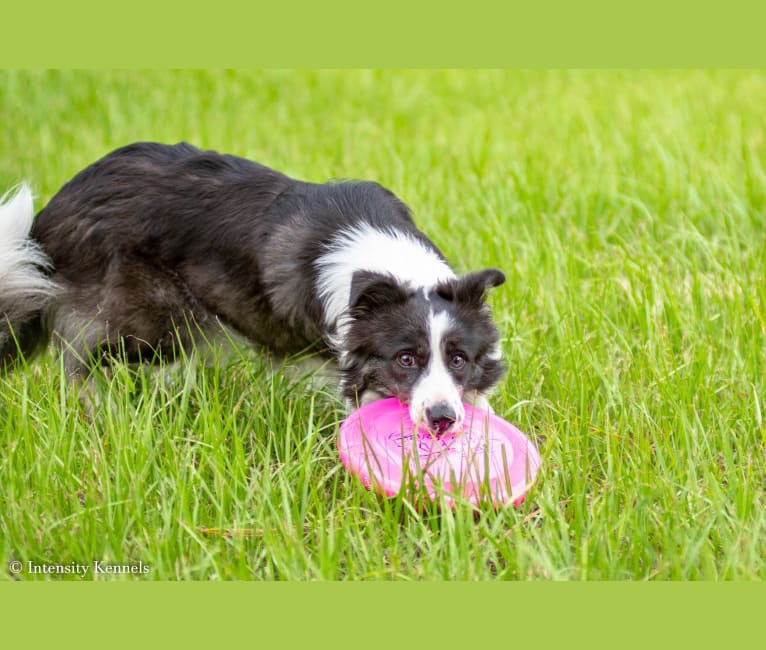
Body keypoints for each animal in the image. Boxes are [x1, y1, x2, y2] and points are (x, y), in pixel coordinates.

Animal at [1, 144, 510, 432]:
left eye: (459, 359)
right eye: (405, 359)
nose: (442, 421)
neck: (392, 267)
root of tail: (51, 215)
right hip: (155, 322)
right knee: (78, 357)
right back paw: (97, 408)